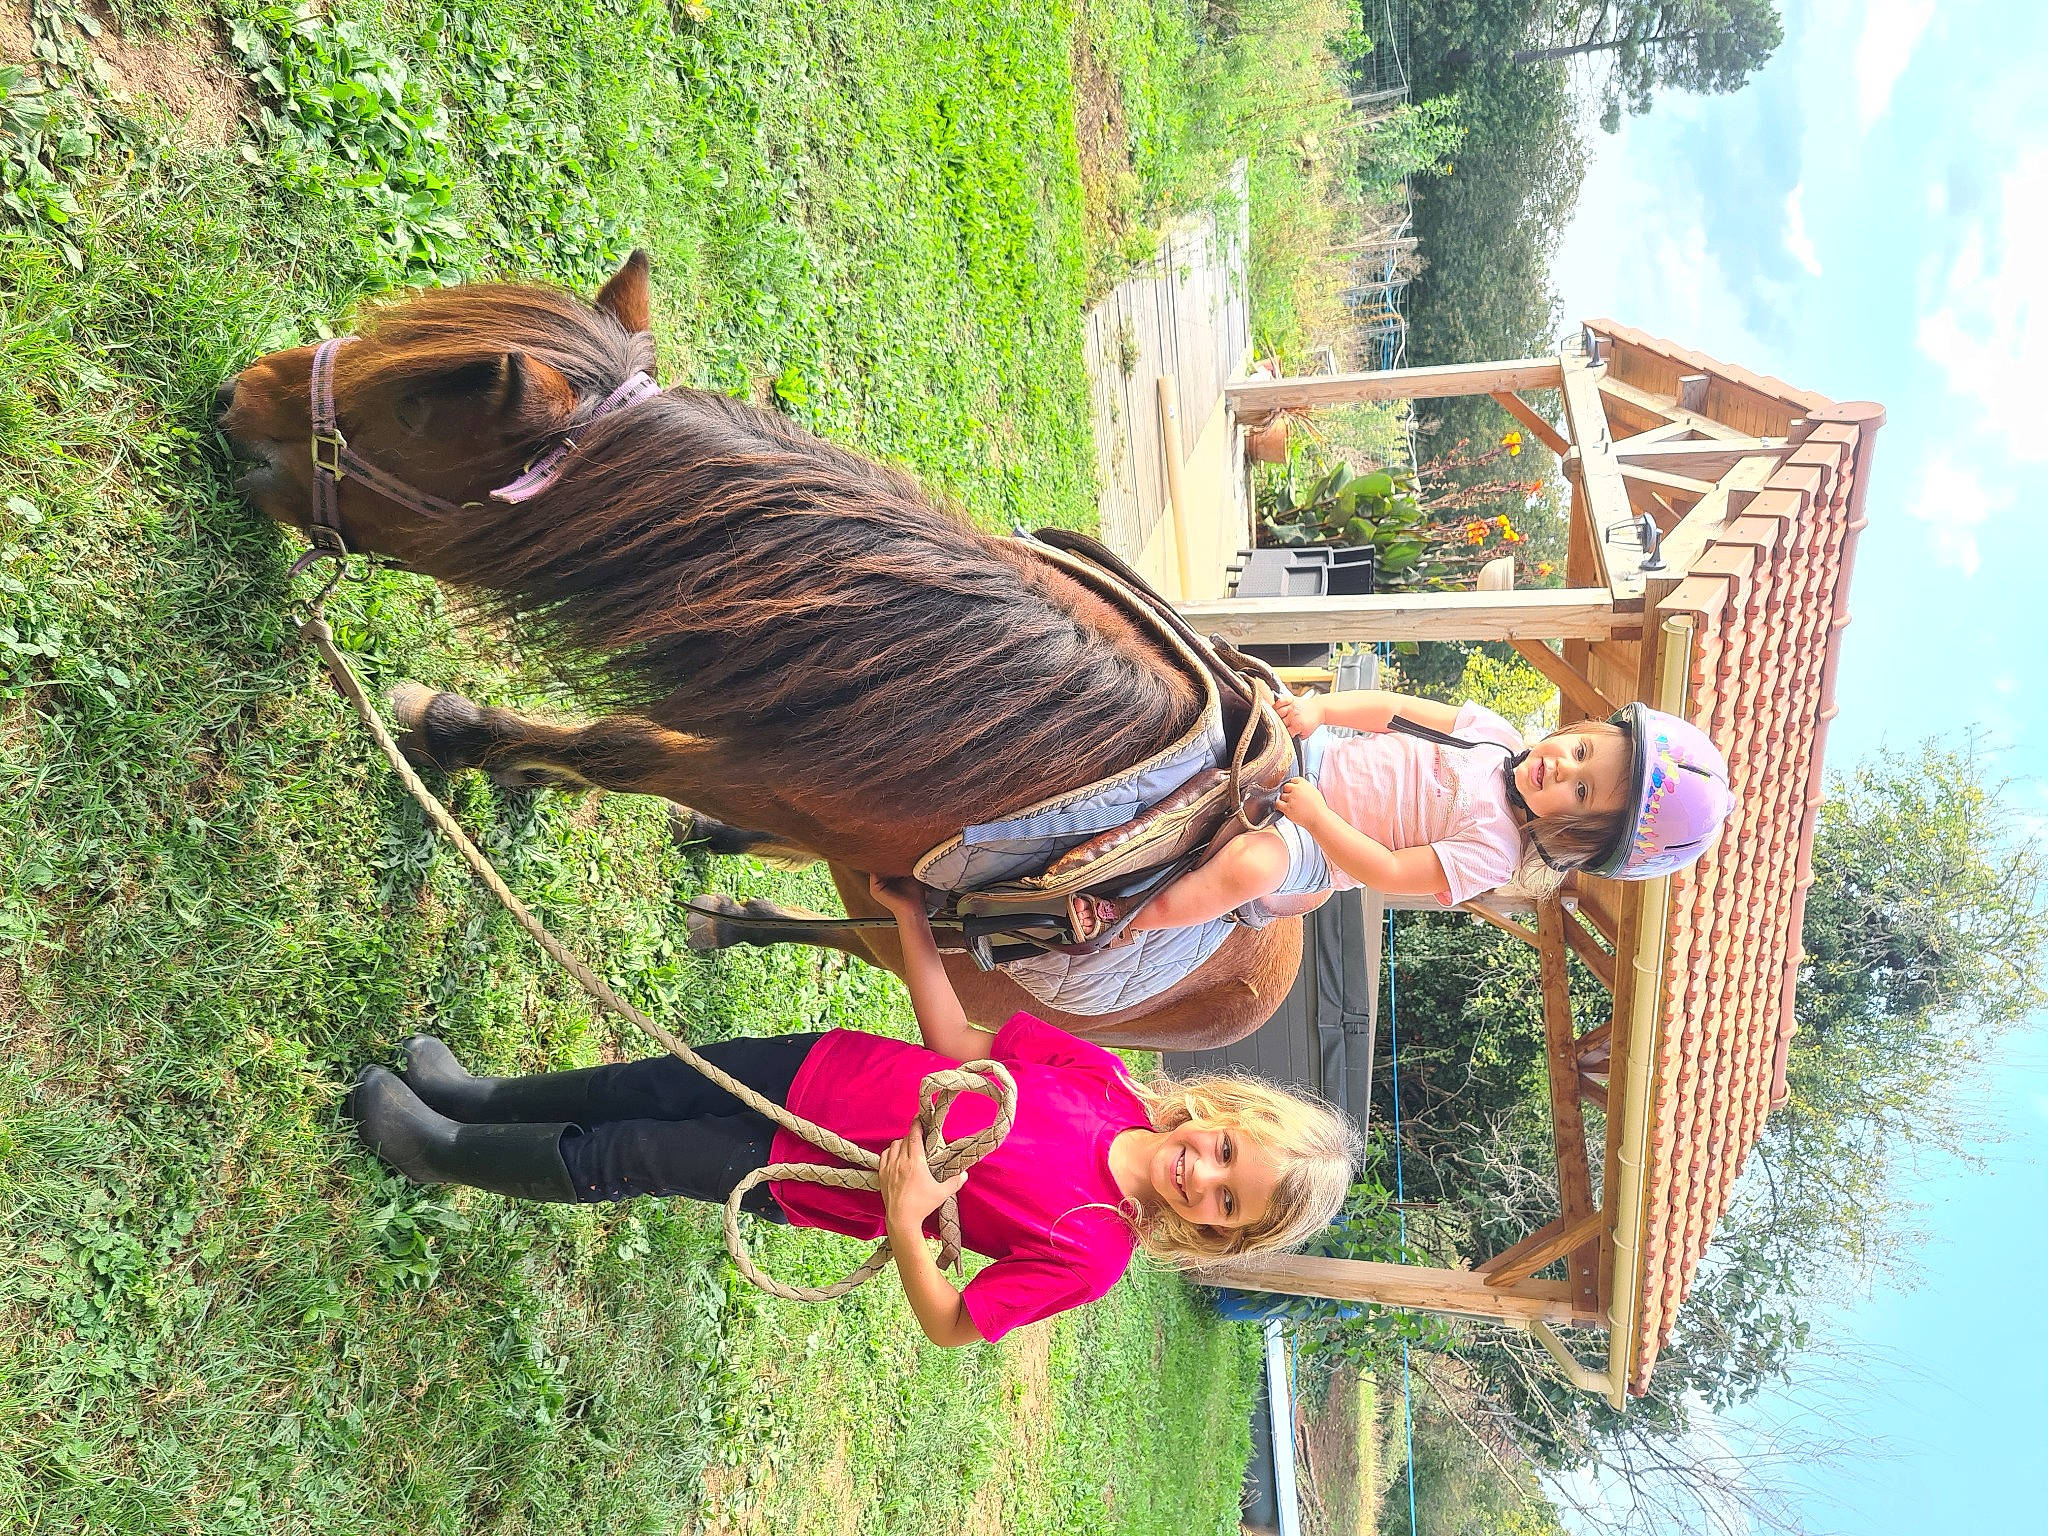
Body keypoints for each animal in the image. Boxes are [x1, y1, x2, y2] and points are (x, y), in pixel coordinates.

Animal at [215, 252, 1300, 1050]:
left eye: (406, 414)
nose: (238, 391)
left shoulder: (762, 769)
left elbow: (618, 746)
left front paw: (459, 738)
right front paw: (503, 748)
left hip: (897, 946)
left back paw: (729, 914)